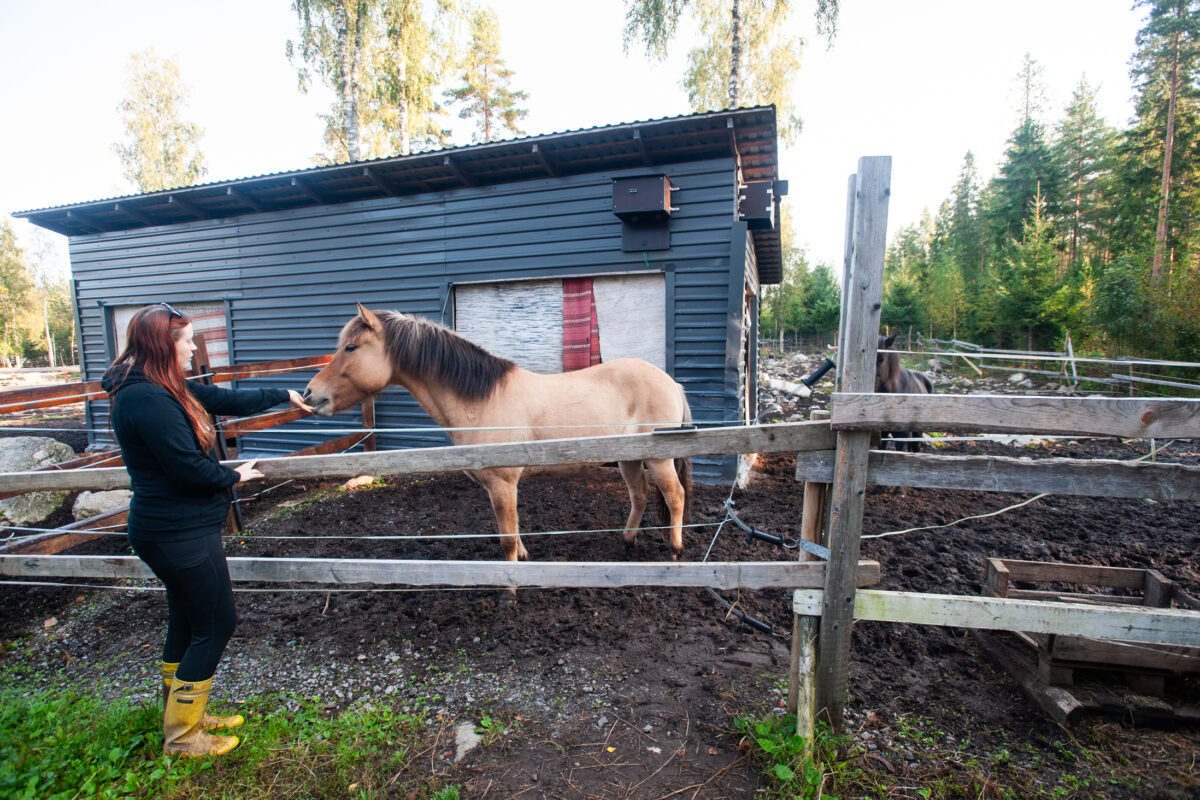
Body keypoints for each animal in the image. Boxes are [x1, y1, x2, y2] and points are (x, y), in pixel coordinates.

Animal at [302, 304, 696, 575]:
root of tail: (671, 383)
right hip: (630, 458)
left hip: (658, 459)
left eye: (351, 347)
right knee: (640, 496)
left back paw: (676, 550)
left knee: (675, 496)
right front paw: (523, 557)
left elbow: (506, 537)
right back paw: (625, 543)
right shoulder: (502, 488)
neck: (480, 400)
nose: (310, 394)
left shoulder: (502, 483)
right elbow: (514, 530)